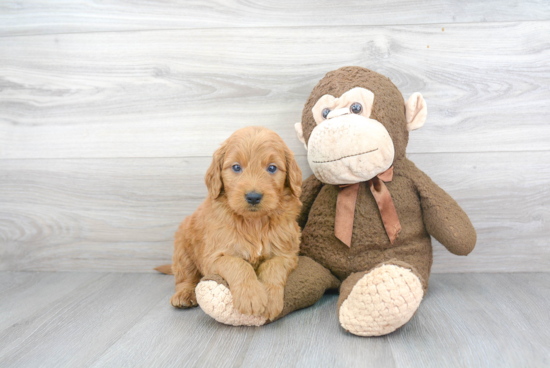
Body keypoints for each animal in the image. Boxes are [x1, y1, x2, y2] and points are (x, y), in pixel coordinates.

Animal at [170, 126, 304, 320]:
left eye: (272, 168)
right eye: (236, 167)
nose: (253, 197)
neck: (255, 223)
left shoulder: (286, 254)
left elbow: (273, 267)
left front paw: (271, 299)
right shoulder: (214, 256)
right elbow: (238, 264)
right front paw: (251, 297)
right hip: (183, 248)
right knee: (185, 276)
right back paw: (184, 293)